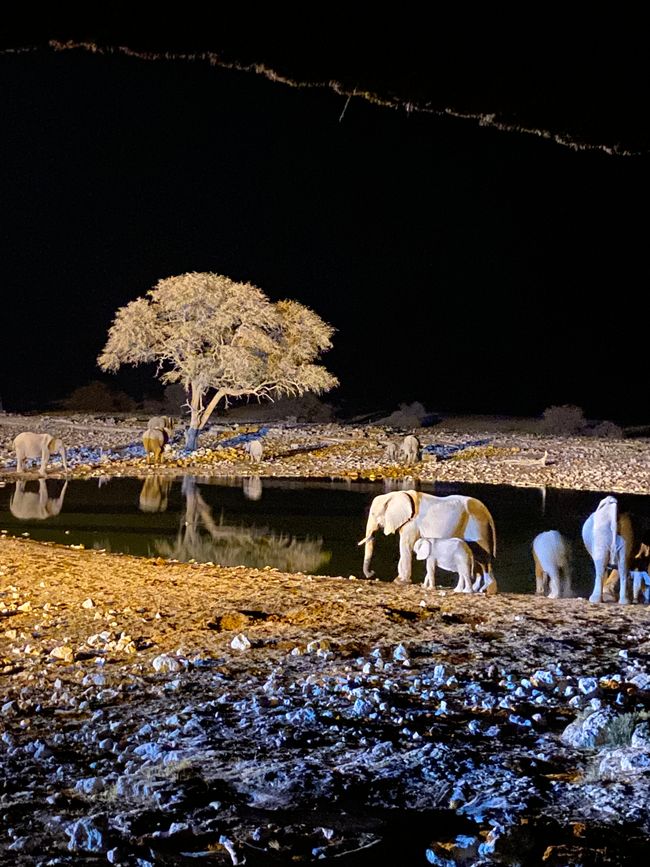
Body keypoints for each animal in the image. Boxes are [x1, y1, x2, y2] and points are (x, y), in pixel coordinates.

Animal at [356, 488, 494, 584]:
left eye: (373, 514)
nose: (371, 573)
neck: (395, 494)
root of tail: (488, 513)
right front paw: (399, 580)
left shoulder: (412, 523)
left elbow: (405, 547)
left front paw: (400, 582)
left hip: (479, 528)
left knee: (484, 560)